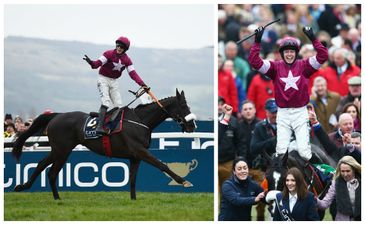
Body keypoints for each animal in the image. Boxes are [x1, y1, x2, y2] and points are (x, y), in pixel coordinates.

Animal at [12, 89, 196, 200]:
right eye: (183, 105)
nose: (192, 125)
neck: (140, 121)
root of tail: (56, 116)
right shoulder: (140, 151)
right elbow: (162, 165)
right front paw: (184, 181)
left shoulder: (135, 157)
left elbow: (132, 179)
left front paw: (133, 200)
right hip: (62, 150)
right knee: (51, 172)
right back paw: (56, 198)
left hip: (58, 150)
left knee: (41, 164)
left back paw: (23, 186)